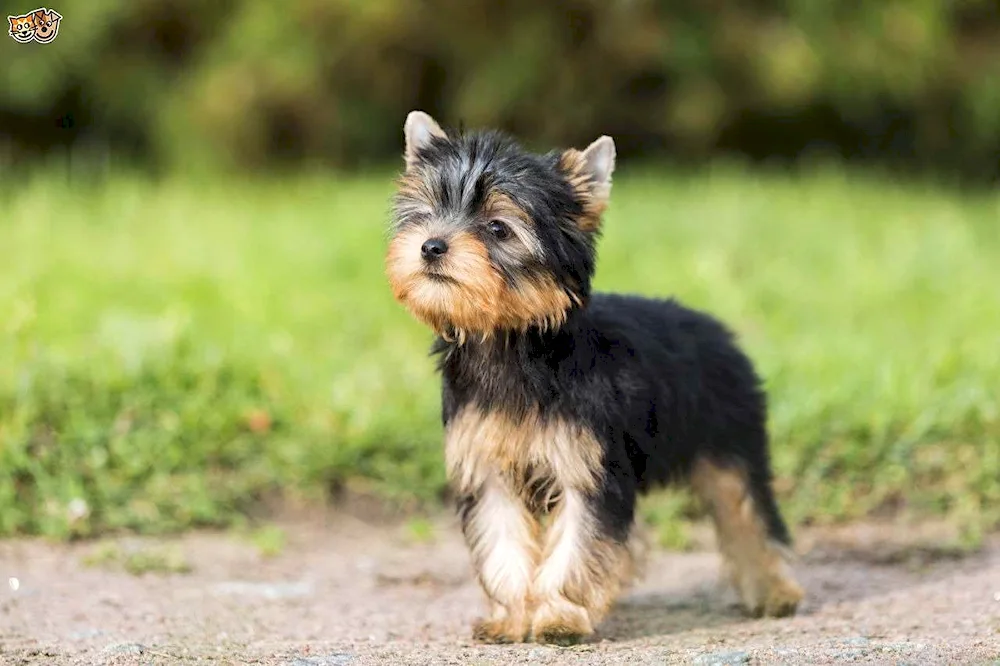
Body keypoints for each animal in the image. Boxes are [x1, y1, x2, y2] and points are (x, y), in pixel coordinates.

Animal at [384, 110, 804, 644]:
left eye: (498, 228)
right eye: (427, 211)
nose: (431, 246)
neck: (512, 338)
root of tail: (715, 328)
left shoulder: (588, 465)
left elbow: (578, 542)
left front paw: (560, 616)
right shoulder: (489, 465)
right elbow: (503, 543)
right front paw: (511, 618)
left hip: (732, 438)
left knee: (747, 511)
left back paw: (774, 591)